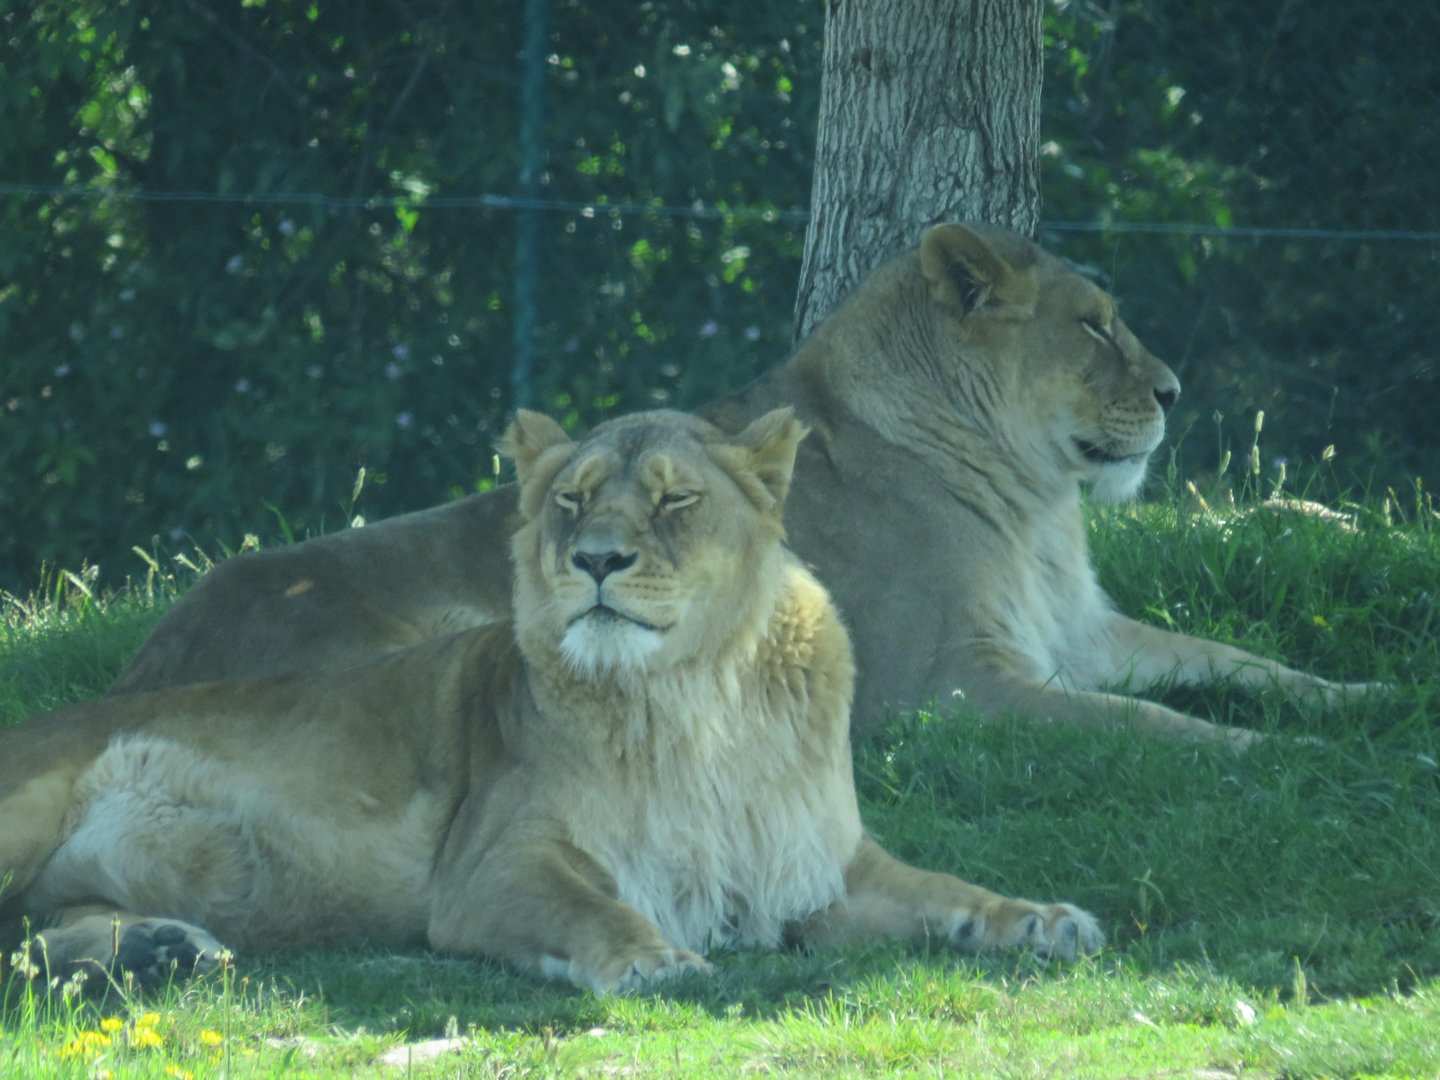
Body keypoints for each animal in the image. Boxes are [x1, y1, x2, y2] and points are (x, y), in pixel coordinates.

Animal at [1, 409, 1102, 992]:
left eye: (675, 500)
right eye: (571, 501)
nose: (596, 560)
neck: (697, 703)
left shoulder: (818, 865)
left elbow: (950, 890)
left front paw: (1045, 922)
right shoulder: (488, 868)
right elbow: (594, 908)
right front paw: (656, 962)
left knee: (31, 935)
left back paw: (162, 948)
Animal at [107, 223, 1373, 743]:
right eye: (1096, 328)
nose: (1171, 391)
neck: (1036, 505)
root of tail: (143, 667)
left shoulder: (1081, 630)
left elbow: (1232, 662)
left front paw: (1354, 699)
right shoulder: (939, 684)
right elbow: (1143, 721)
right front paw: (1263, 757)